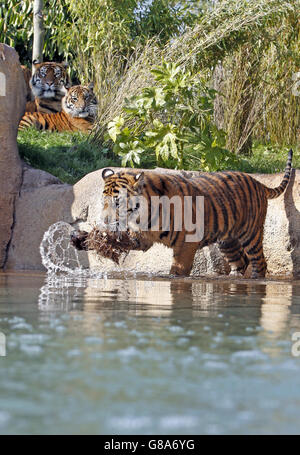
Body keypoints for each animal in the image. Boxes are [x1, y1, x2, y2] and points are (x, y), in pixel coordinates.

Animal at [71, 151, 292, 278]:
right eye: (103, 202)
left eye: (117, 202)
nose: (105, 220)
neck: (143, 216)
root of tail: (259, 183)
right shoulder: (142, 238)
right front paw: (80, 238)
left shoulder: (187, 242)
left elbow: (178, 269)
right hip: (227, 241)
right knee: (241, 263)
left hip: (250, 234)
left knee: (260, 263)